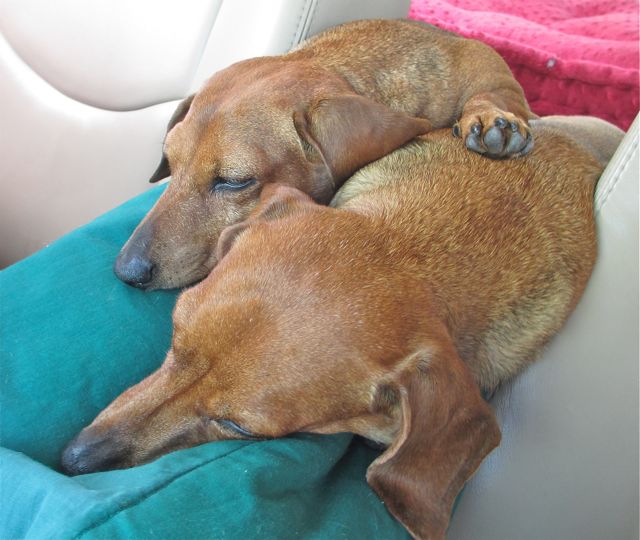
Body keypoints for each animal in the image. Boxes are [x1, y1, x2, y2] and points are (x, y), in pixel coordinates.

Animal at [114, 18, 536, 290]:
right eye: (171, 163)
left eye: (234, 181)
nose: (125, 271)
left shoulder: (496, 78)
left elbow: (494, 94)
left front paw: (491, 118)